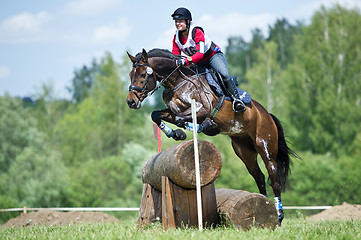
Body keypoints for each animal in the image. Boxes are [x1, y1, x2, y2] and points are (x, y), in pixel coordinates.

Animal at [126, 48, 296, 225]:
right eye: (131, 74)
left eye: (143, 75)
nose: (131, 101)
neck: (178, 81)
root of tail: (266, 114)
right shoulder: (173, 111)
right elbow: (156, 115)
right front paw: (176, 133)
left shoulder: (203, 109)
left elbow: (182, 119)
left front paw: (204, 127)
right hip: (244, 151)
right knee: (260, 177)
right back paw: (265, 204)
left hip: (265, 145)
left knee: (274, 177)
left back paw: (278, 215)